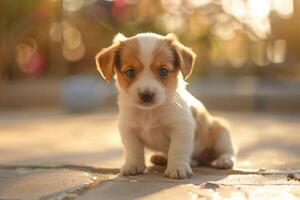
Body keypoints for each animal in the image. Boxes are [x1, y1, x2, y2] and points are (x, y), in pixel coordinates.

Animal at [95, 32, 236, 180]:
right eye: (130, 72)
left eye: (163, 71)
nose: (146, 95)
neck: (149, 112)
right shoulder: (128, 129)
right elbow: (133, 150)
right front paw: (133, 165)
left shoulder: (181, 128)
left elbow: (177, 149)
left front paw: (177, 168)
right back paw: (164, 158)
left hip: (221, 134)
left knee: (228, 151)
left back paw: (224, 160)